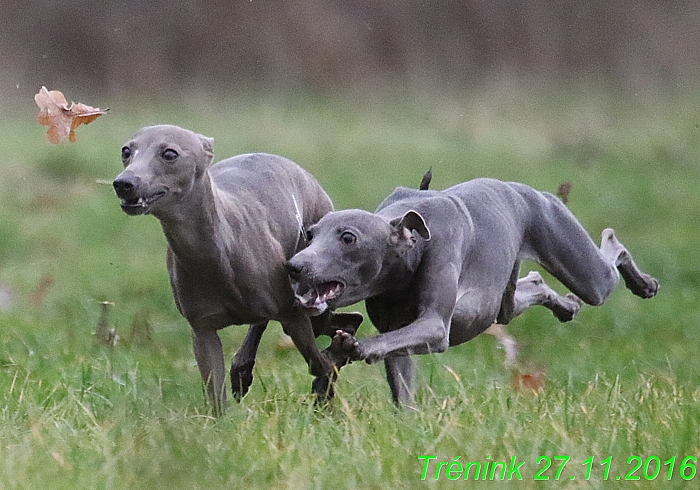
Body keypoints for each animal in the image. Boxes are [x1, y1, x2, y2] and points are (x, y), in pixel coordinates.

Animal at [113, 125, 360, 414]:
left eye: (170, 153)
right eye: (126, 151)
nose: (123, 184)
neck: (216, 254)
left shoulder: (293, 314)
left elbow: (320, 363)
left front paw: (331, 373)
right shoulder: (202, 330)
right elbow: (215, 395)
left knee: (338, 322)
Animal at [284, 178, 656, 404]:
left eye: (348, 238)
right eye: (310, 234)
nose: (293, 266)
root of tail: (524, 190)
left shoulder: (434, 326)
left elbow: (391, 339)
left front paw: (347, 347)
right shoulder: (398, 336)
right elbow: (400, 378)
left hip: (584, 269)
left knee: (612, 247)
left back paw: (643, 283)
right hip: (502, 301)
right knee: (533, 285)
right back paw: (566, 306)